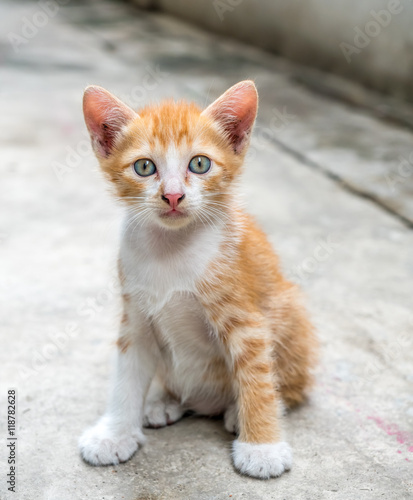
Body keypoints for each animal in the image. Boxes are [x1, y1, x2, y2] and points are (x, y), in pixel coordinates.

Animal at [79, 80, 318, 478]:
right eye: (144, 167)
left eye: (200, 164)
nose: (173, 195)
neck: (169, 249)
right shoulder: (136, 320)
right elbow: (126, 377)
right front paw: (114, 434)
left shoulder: (246, 322)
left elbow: (256, 378)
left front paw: (262, 447)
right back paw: (166, 401)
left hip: (289, 309)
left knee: (288, 384)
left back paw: (240, 411)